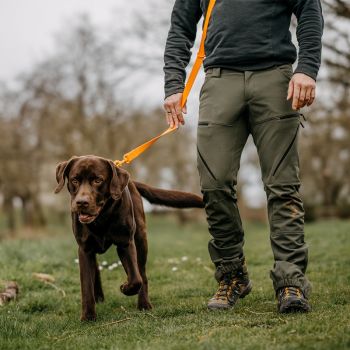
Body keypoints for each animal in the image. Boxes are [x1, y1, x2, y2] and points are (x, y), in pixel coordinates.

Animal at [53, 154, 204, 322]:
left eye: (98, 180)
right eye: (75, 180)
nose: (81, 202)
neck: (102, 218)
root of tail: (131, 182)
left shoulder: (126, 243)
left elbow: (135, 278)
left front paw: (125, 287)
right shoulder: (85, 249)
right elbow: (86, 284)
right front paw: (88, 316)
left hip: (141, 240)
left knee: (142, 274)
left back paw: (144, 304)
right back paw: (99, 296)